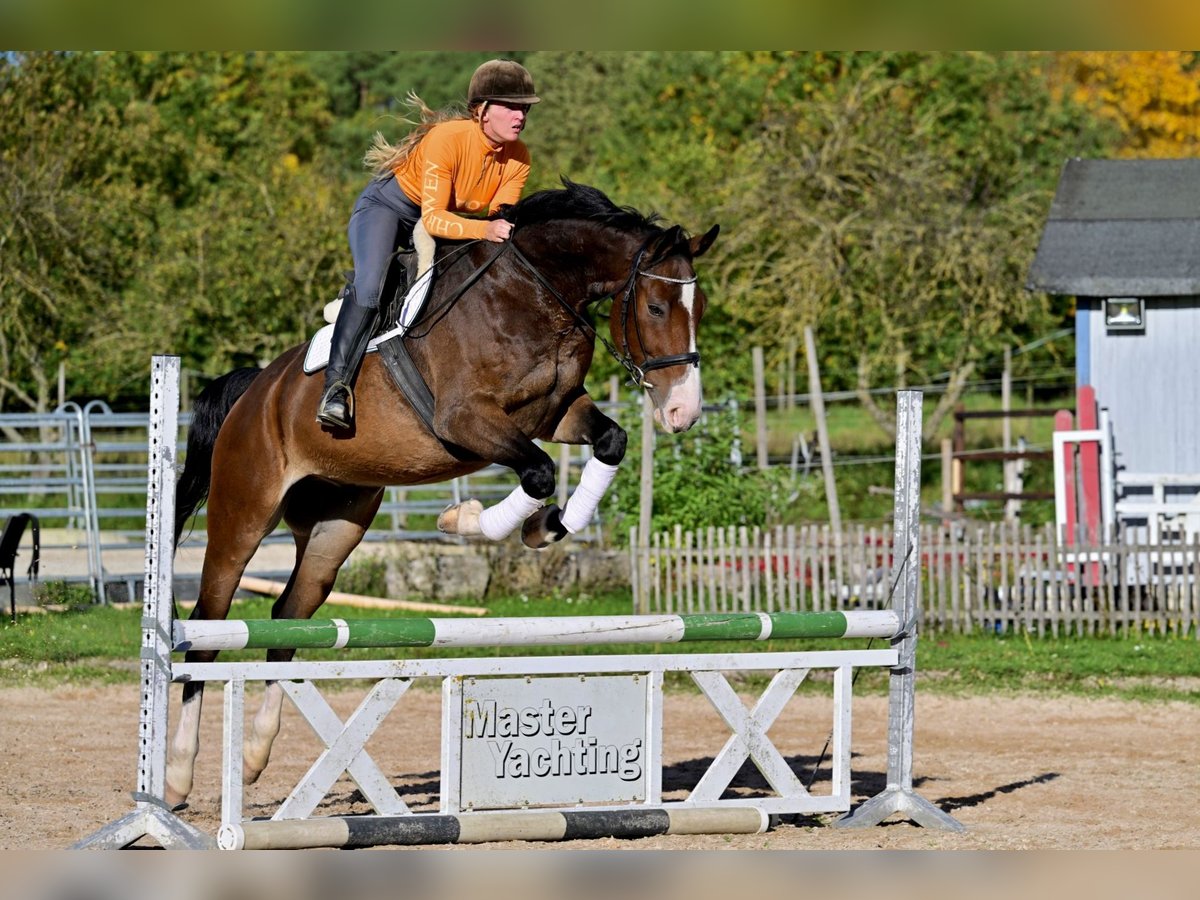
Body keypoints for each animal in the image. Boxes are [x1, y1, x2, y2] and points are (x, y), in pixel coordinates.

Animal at [163, 179, 719, 807]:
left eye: (700, 309)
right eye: (655, 307)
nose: (683, 413)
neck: (535, 294)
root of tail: (254, 391)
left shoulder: (555, 414)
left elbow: (609, 442)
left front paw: (547, 527)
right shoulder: (467, 419)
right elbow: (539, 472)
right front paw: (471, 521)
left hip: (335, 527)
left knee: (287, 620)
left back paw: (256, 755)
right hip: (244, 512)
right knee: (208, 626)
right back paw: (178, 776)